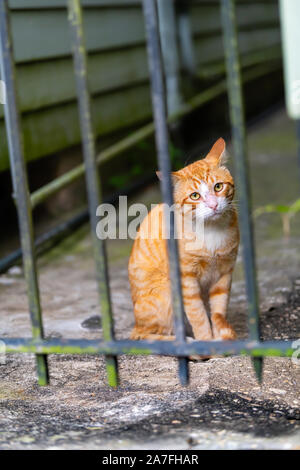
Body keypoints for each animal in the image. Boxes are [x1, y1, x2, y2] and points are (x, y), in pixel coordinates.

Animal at [128, 139, 239, 342]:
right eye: (195, 196)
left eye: (218, 187)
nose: (213, 205)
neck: (211, 231)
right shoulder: (187, 281)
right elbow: (198, 316)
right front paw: (206, 341)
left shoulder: (224, 273)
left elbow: (219, 310)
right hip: (165, 294)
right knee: (144, 335)